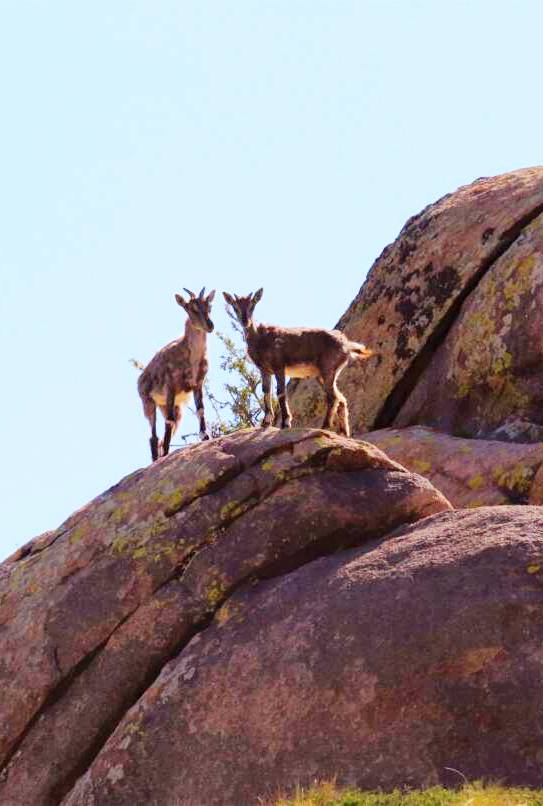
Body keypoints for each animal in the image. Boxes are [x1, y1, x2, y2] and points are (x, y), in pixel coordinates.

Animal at [137, 288, 216, 460]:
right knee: (154, 436)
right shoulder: (170, 387)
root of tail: (139, 379)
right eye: (191, 308)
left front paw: (205, 437)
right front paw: (167, 453)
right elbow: (169, 422)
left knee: (163, 434)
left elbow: (200, 410)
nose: (210, 325)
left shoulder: (197, 384)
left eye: (209, 306)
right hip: (149, 403)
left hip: (172, 407)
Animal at [223, 290, 372, 438]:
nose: (245, 321)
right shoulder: (264, 369)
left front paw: (285, 423)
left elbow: (280, 393)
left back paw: (324, 427)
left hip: (327, 368)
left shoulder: (279, 366)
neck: (259, 339)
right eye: (235, 307)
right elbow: (266, 391)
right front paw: (265, 422)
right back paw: (343, 433)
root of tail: (346, 345)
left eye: (252, 305)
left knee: (333, 397)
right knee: (341, 399)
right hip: (324, 375)